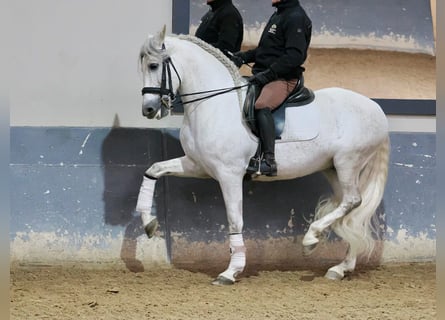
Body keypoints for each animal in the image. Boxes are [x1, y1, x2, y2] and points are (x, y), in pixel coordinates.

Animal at [136, 27, 388, 284]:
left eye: (154, 66)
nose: (149, 110)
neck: (215, 103)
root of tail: (376, 109)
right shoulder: (198, 166)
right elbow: (153, 169)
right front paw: (149, 223)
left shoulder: (229, 175)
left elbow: (234, 219)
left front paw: (231, 271)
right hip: (333, 169)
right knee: (352, 210)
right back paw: (340, 267)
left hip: (348, 163)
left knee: (352, 201)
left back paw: (312, 238)